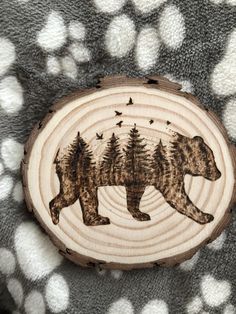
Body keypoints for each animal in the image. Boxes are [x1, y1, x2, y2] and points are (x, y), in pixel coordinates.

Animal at [49, 126, 221, 227]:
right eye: (211, 160)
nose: (219, 174)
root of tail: (59, 150)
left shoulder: (138, 174)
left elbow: (134, 194)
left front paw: (141, 214)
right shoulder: (168, 166)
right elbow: (177, 196)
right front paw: (206, 216)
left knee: (81, 194)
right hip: (80, 167)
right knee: (74, 194)